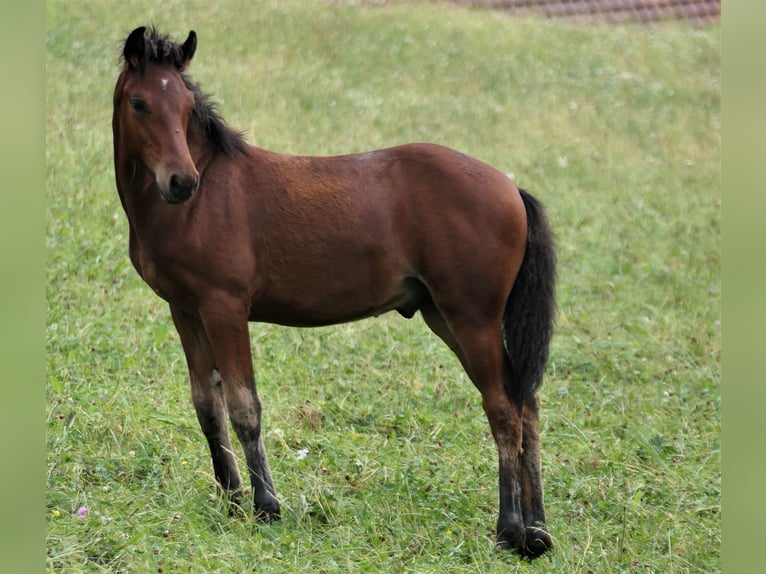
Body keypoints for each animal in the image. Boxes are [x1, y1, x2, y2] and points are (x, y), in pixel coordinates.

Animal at [112, 24, 560, 560]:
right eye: (139, 103)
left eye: (184, 106)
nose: (182, 182)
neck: (200, 203)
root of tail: (512, 190)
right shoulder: (186, 310)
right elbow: (208, 407)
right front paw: (232, 500)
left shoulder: (225, 307)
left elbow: (244, 406)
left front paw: (266, 506)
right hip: (446, 316)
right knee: (526, 405)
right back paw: (538, 529)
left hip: (473, 319)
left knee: (504, 412)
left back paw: (510, 530)